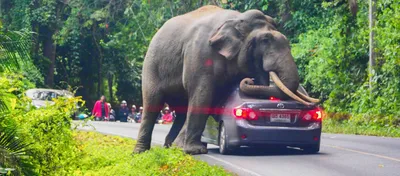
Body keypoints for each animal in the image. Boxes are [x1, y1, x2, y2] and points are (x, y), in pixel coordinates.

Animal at [134, 4, 318, 155]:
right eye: (265, 40)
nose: (248, 80)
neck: (237, 19)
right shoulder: (200, 54)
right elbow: (203, 95)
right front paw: (195, 151)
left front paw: (185, 148)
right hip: (152, 64)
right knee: (153, 102)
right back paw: (141, 152)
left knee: (181, 109)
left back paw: (170, 147)